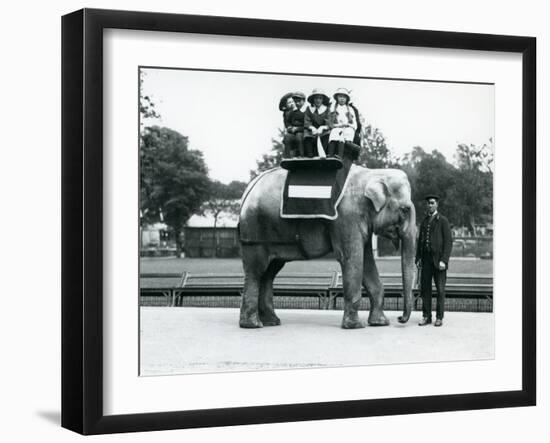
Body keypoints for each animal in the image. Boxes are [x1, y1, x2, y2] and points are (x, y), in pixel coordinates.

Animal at [238, 160, 418, 330]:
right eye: (405, 210)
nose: (400, 319)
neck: (372, 173)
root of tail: (248, 190)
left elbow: (366, 261)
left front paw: (380, 323)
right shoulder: (347, 217)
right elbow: (352, 259)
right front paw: (355, 326)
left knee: (269, 272)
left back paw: (272, 322)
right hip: (255, 234)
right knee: (257, 271)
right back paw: (253, 325)